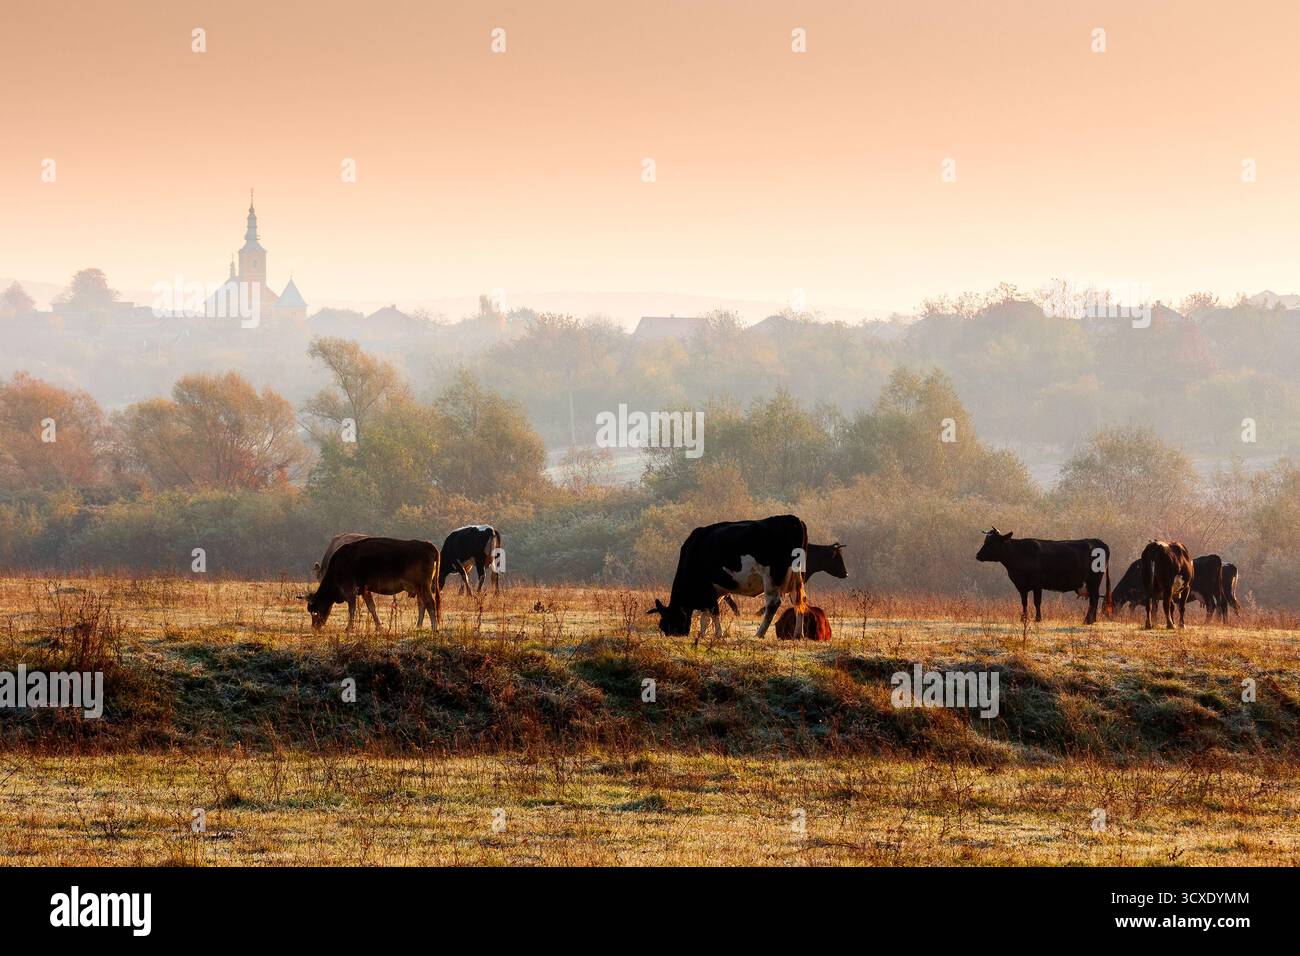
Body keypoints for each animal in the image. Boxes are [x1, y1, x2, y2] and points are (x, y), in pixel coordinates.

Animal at [306, 537, 441, 632]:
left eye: (314, 611)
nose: (314, 627)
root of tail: (426, 544)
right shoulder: (365, 590)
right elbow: (372, 607)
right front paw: (379, 626)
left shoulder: (350, 590)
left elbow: (352, 609)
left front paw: (349, 628)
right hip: (419, 588)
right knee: (422, 604)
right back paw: (418, 626)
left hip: (423, 586)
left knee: (430, 603)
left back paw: (435, 627)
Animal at [647, 514, 809, 646]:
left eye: (667, 622)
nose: (672, 635)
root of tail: (791, 518)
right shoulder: (715, 591)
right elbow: (706, 614)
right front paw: (702, 633)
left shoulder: (708, 588)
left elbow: (713, 611)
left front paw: (718, 634)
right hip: (796, 577)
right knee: (799, 601)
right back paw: (798, 634)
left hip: (771, 577)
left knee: (773, 603)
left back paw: (759, 633)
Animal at [976, 528, 1111, 624]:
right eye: (985, 541)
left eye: (991, 543)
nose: (977, 555)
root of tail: (1097, 541)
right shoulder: (1021, 586)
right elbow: (1024, 602)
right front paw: (1023, 618)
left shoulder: (1037, 585)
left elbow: (1037, 602)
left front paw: (1038, 619)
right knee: (1095, 598)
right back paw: (1092, 620)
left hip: (1094, 579)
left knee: (1094, 598)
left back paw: (1088, 620)